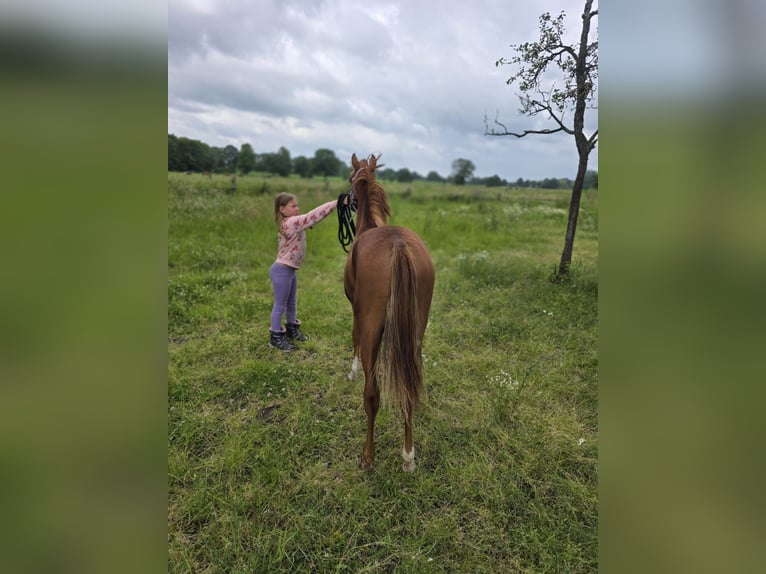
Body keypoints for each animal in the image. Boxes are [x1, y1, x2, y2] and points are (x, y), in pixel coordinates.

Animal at [343, 153, 435, 472]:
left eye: (350, 177)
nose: (347, 200)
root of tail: (399, 247)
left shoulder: (357, 312)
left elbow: (354, 336)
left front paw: (352, 370)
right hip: (416, 332)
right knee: (410, 385)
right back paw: (408, 455)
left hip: (374, 327)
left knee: (372, 394)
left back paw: (367, 456)